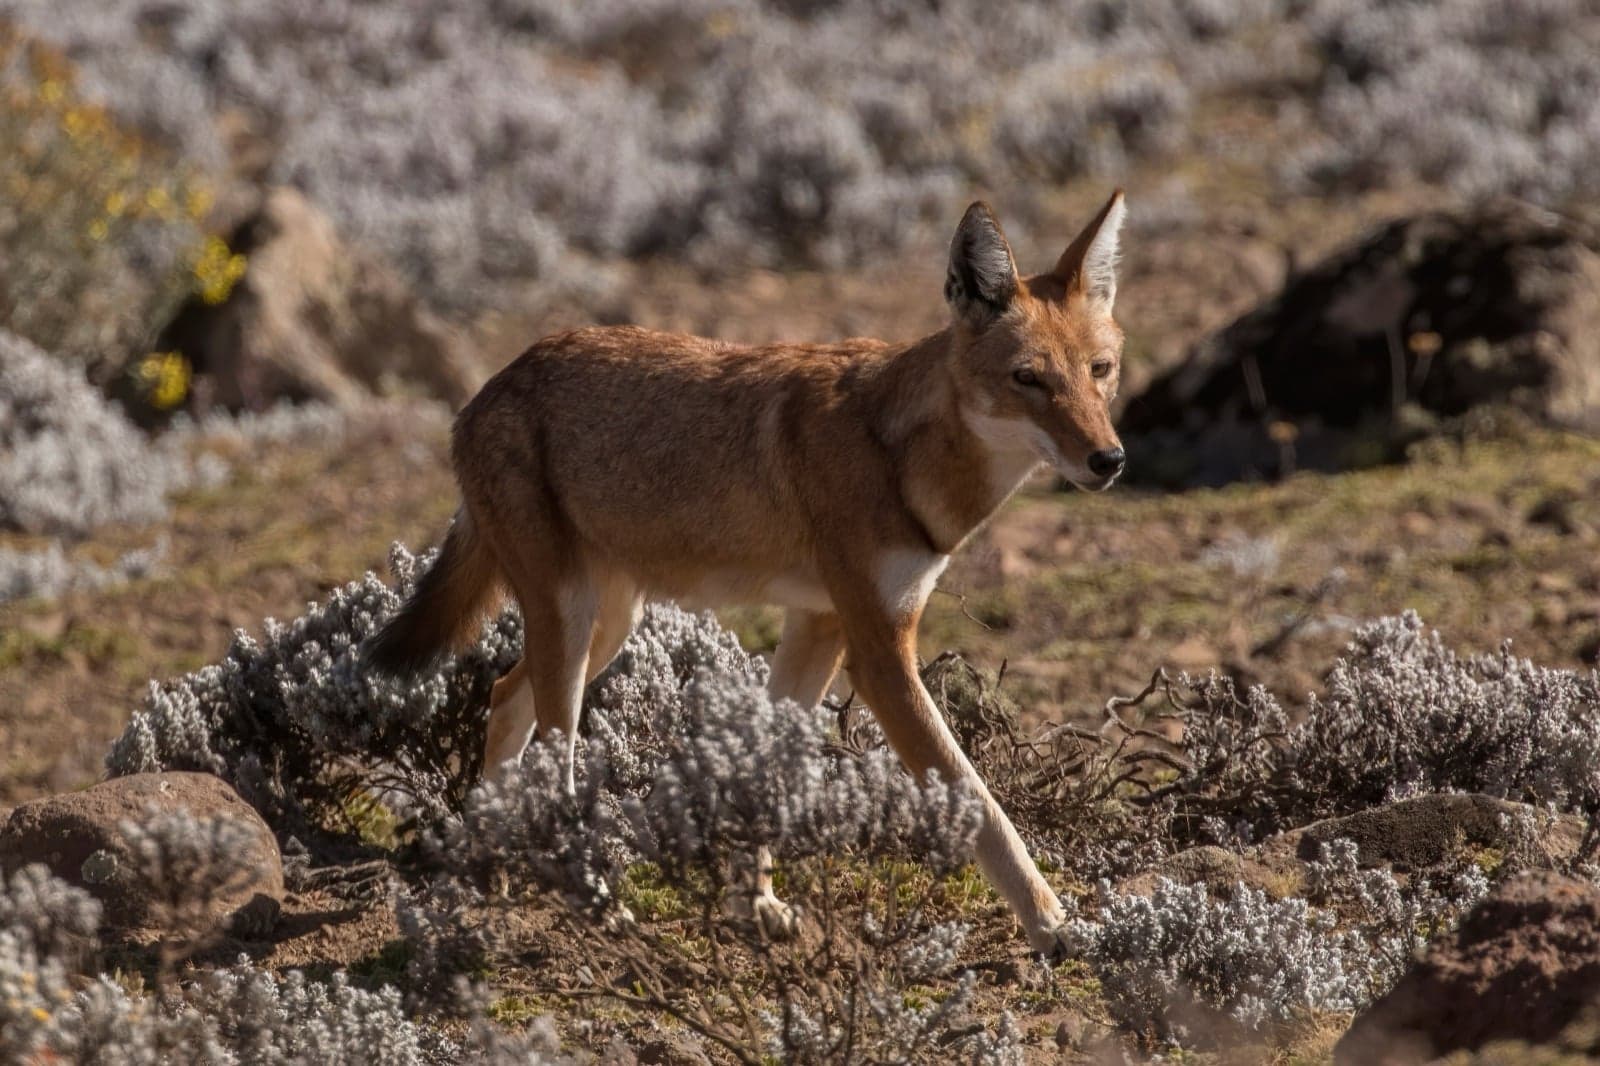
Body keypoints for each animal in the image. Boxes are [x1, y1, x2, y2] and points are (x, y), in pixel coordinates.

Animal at [366, 192, 1127, 955]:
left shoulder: (821, 626)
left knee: (502, 697)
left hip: (606, 628)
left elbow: (766, 770)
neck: (900, 455)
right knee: (554, 758)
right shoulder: (880, 654)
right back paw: (595, 900)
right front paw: (1054, 924)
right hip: (575, 625)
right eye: (1028, 378)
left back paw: (490, 863)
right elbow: (978, 800)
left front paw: (755, 903)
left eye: (1101, 370)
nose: (1110, 459)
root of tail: (487, 388)